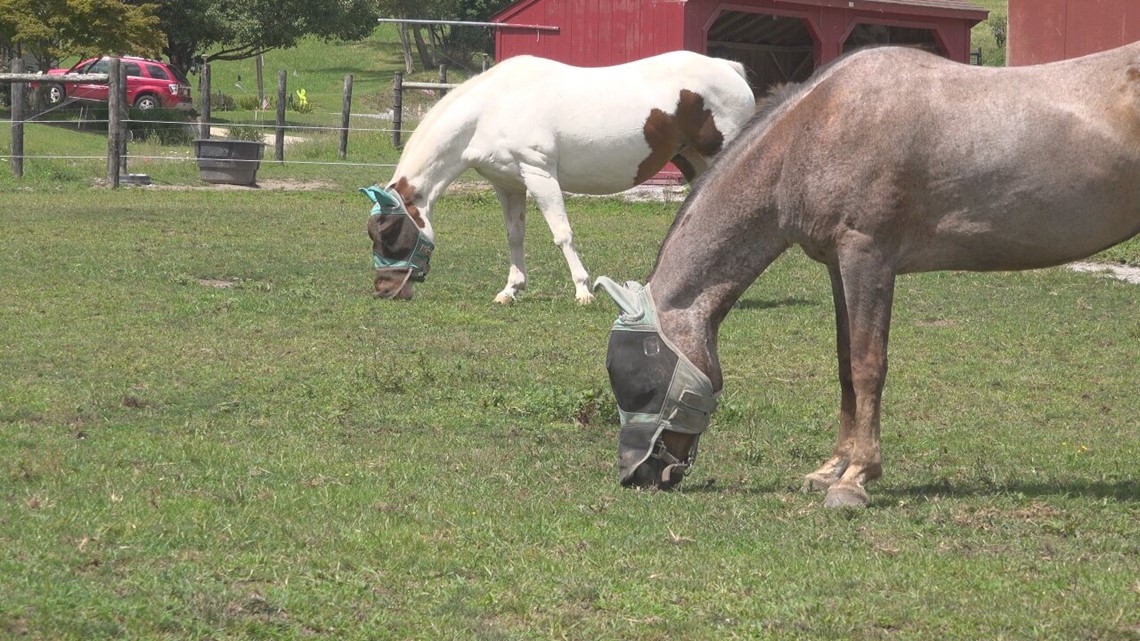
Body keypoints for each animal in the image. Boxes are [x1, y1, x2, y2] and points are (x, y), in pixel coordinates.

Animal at [368, 50, 757, 303]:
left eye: (389, 232)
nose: (384, 290)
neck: (492, 108)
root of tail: (730, 68)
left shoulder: (539, 174)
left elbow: (562, 234)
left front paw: (583, 290)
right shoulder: (507, 185)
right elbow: (514, 236)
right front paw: (510, 290)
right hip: (694, 162)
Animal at [595, 42, 1140, 507]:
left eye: (637, 380)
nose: (636, 474)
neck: (814, 129)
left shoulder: (868, 255)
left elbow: (866, 364)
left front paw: (856, 478)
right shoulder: (839, 263)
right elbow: (844, 366)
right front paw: (831, 469)